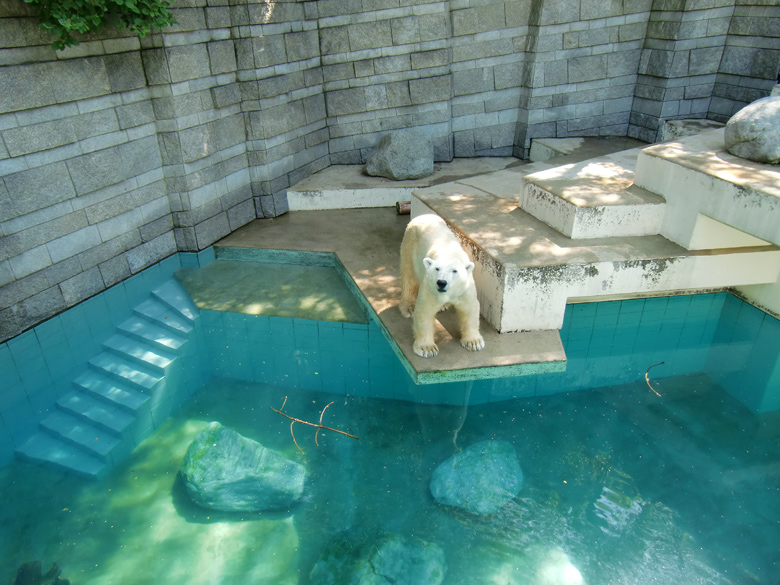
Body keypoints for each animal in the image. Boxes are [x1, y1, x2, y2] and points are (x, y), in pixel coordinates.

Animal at [400, 213, 484, 356]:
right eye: (437, 269)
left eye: (455, 271)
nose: (441, 283)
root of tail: (424, 215)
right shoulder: (429, 287)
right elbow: (425, 311)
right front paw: (427, 348)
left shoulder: (465, 288)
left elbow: (470, 309)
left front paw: (474, 343)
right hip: (410, 244)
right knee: (409, 276)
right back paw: (408, 307)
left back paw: (443, 306)